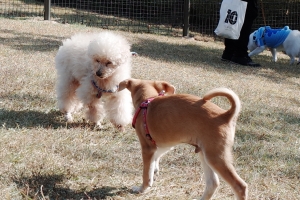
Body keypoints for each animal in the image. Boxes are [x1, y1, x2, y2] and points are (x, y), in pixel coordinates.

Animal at [118, 78, 247, 200]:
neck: (147, 100)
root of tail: (225, 115)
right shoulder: (164, 145)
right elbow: (155, 159)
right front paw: (155, 170)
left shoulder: (147, 148)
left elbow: (146, 173)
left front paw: (142, 188)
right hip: (205, 155)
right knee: (213, 183)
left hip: (216, 157)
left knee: (240, 186)